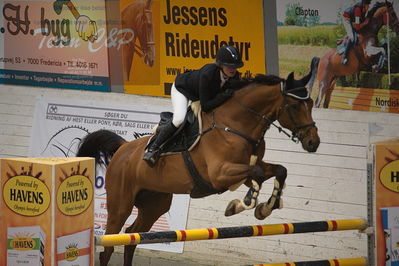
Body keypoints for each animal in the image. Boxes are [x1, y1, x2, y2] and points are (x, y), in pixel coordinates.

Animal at [77, 70, 322, 264]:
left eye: (311, 104)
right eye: (295, 105)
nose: (313, 142)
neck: (236, 124)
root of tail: (123, 148)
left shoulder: (246, 167)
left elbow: (278, 170)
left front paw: (266, 207)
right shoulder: (220, 174)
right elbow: (257, 174)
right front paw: (240, 205)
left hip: (155, 204)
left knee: (131, 237)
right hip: (121, 204)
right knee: (109, 245)